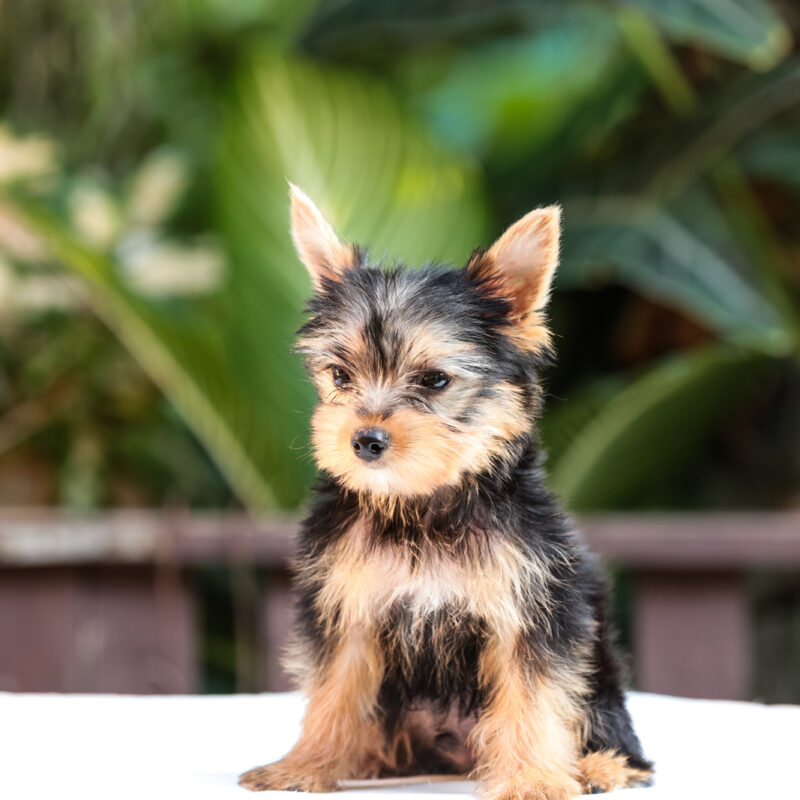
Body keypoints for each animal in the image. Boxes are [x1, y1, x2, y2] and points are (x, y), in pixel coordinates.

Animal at [241, 186, 652, 800]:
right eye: (340, 376)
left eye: (434, 381)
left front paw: (532, 778)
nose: (365, 440)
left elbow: (533, 694)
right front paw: (306, 764)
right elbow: (335, 687)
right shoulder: (348, 604)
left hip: (598, 671)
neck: (422, 505)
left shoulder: (531, 605)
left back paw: (601, 766)